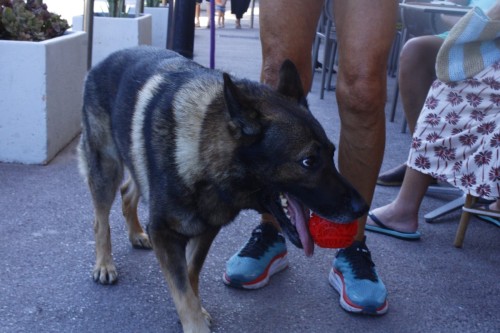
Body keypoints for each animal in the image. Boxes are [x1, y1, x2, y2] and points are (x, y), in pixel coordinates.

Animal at [78, 46, 368, 332]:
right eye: (308, 161)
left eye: (331, 153)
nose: (362, 207)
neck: (203, 153)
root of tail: (105, 59)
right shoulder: (164, 234)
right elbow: (183, 292)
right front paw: (194, 323)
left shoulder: (207, 231)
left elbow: (191, 275)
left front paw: (198, 308)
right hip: (107, 168)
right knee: (100, 219)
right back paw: (104, 263)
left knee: (128, 191)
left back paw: (136, 233)